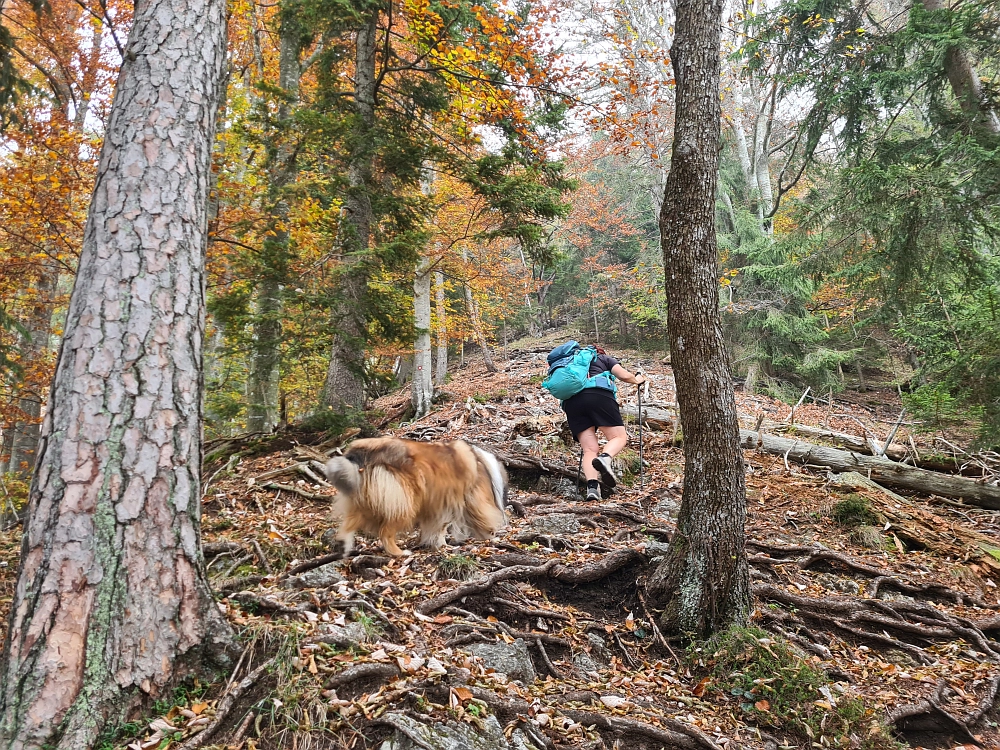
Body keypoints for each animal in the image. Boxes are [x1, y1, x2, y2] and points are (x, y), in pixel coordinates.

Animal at [322, 438, 508, 556]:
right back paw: (399, 553)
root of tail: (361, 453)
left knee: (349, 524)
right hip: (406, 501)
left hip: (365, 501)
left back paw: (343, 544)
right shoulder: (464, 499)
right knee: (385, 532)